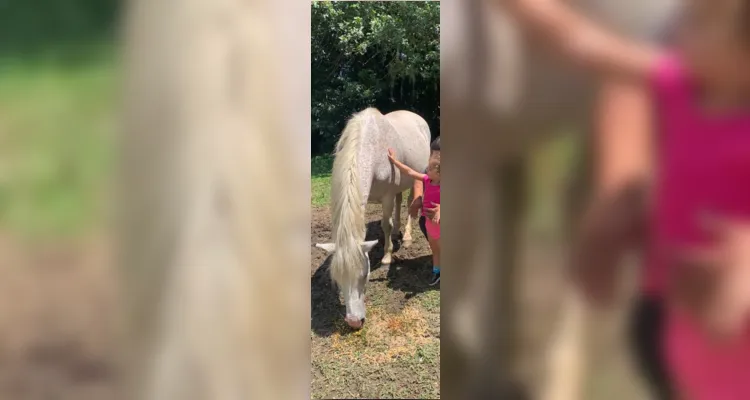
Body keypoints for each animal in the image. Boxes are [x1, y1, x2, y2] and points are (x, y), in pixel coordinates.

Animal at [314, 108, 432, 330]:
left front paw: (386, 257)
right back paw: (397, 233)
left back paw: (406, 237)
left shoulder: (386, 196)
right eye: (337, 280)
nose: (354, 322)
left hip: (416, 176)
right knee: (399, 200)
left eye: (364, 275)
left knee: (409, 203)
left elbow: (385, 224)